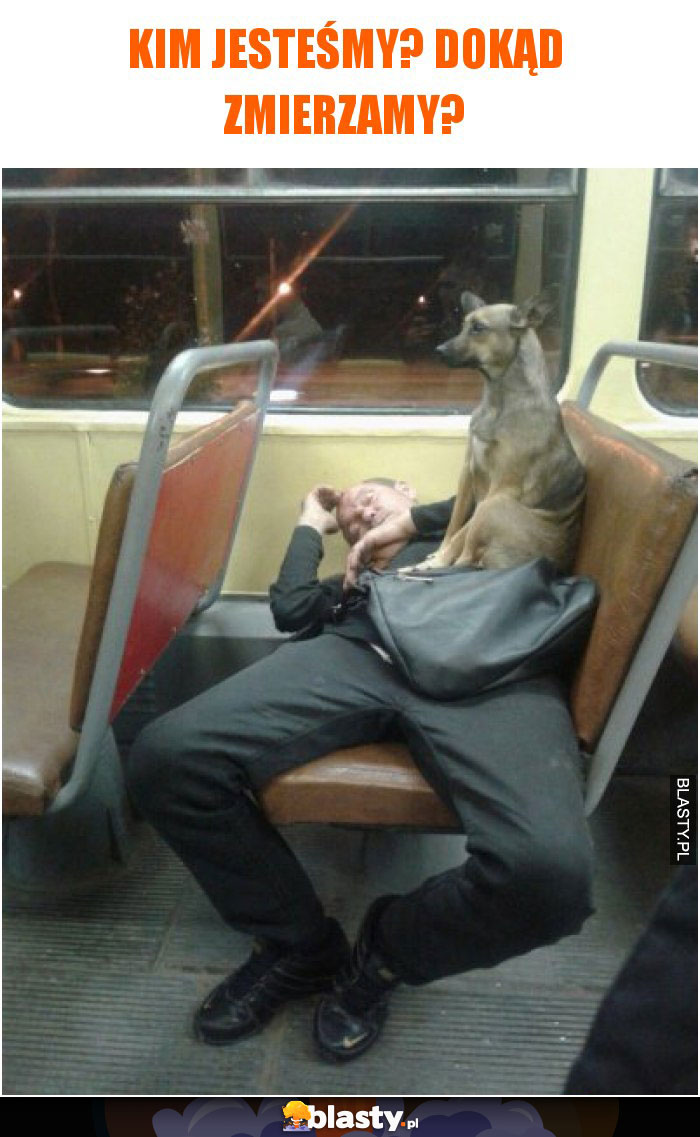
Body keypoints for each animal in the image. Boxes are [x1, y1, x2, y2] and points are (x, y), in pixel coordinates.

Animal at [409, 287, 586, 574]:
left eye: (479, 328)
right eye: (463, 325)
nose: (438, 350)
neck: (498, 400)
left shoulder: (502, 486)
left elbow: (461, 534)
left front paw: (439, 560)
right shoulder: (468, 472)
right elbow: (454, 525)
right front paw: (439, 552)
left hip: (493, 506)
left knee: (466, 556)